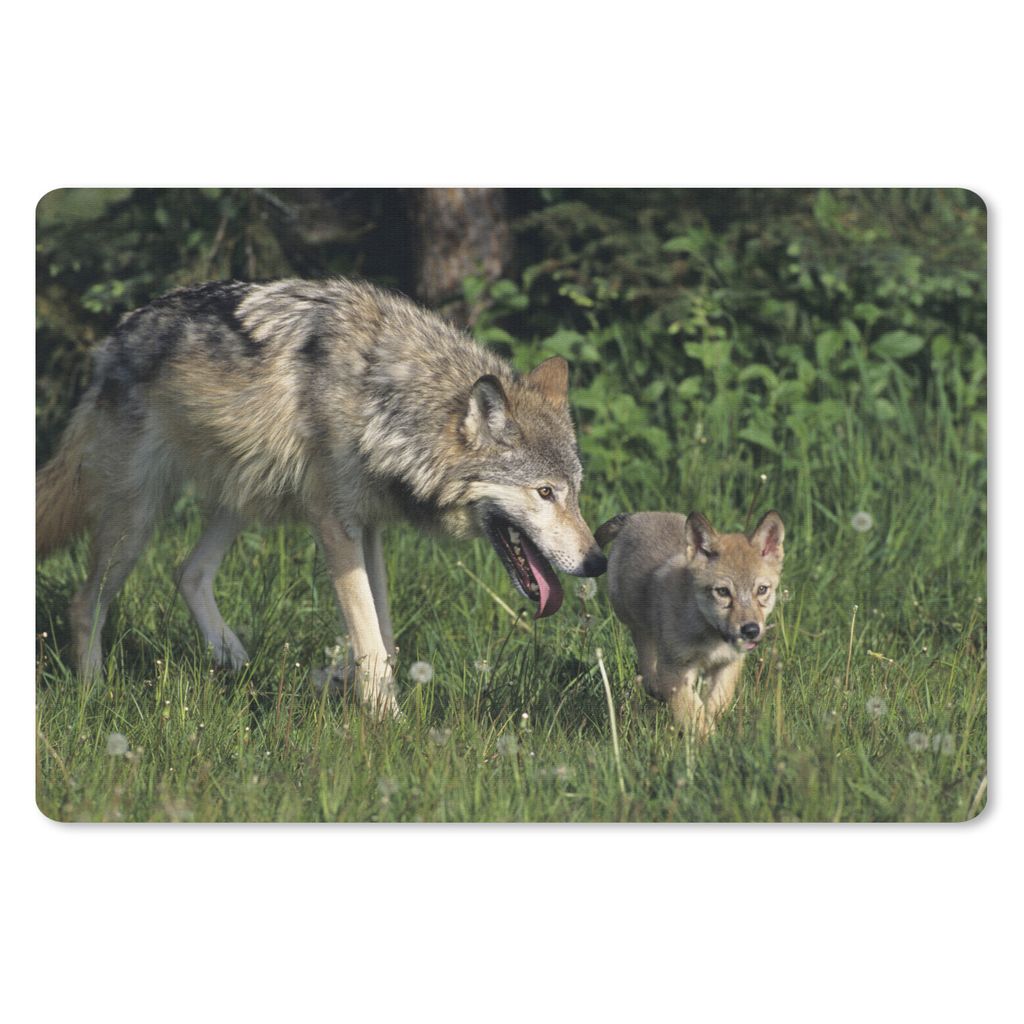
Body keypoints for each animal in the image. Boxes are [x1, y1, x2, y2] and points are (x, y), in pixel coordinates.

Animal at [36, 278, 607, 716]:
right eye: (545, 492)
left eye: (575, 493)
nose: (598, 562)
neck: (385, 403)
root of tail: (112, 341)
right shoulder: (336, 525)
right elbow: (371, 643)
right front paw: (390, 724)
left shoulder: (370, 527)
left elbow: (385, 636)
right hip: (136, 521)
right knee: (85, 603)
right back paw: (94, 695)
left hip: (242, 499)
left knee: (187, 572)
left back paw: (232, 657)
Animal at [596, 509, 785, 736]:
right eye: (723, 592)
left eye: (762, 590)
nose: (750, 630)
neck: (712, 638)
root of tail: (634, 517)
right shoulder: (677, 670)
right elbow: (694, 714)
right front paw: (710, 740)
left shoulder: (728, 664)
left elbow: (717, 703)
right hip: (632, 618)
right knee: (646, 653)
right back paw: (654, 684)